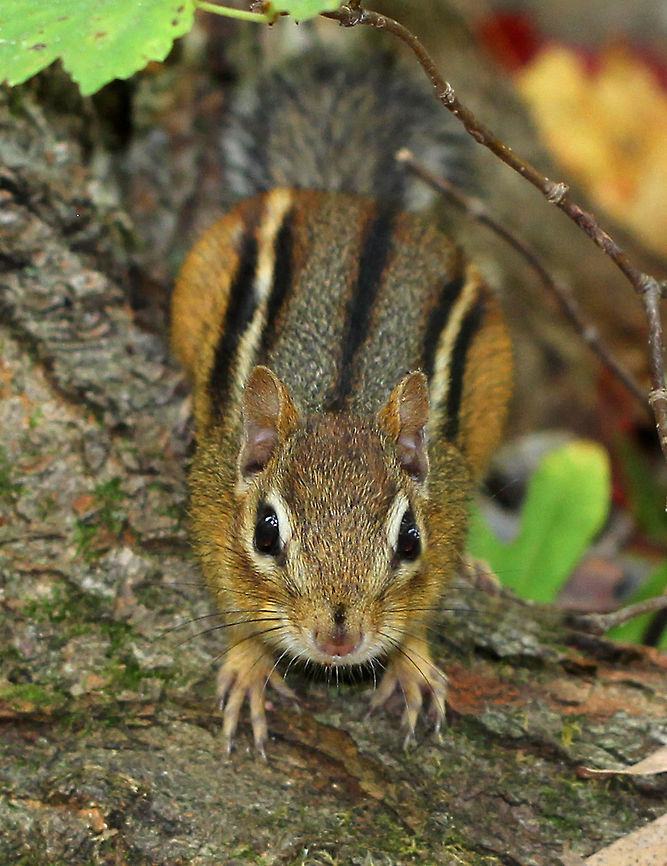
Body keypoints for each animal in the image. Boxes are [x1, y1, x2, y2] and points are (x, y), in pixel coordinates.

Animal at [170, 46, 513, 754]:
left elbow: (422, 613)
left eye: (410, 539)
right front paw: (250, 666)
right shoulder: (210, 513)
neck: (342, 400)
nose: (338, 638)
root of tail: (353, 199)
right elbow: (233, 608)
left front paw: (414, 664)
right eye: (266, 532)